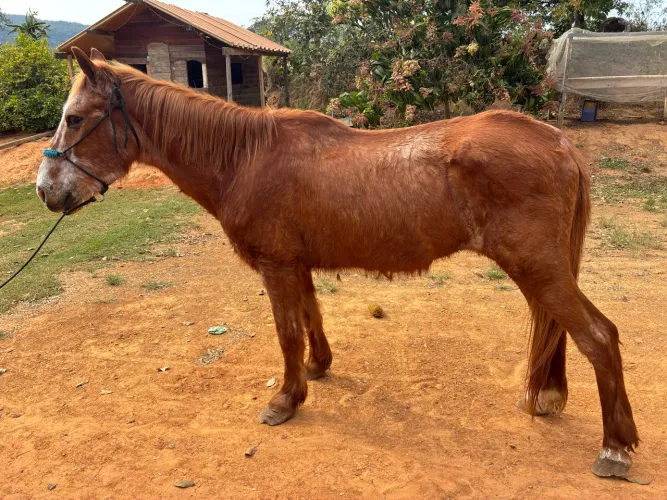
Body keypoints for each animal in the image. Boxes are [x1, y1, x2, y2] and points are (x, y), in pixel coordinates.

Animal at [36, 47, 639, 477]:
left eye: (75, 118)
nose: (45, 190)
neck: (246, 159)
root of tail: (558, 141)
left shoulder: (276, 266)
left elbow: (286, 332)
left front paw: (285, 400)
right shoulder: (295, 264)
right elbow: (310, 318)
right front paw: (316, 369)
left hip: (539, 268)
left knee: (599, 336)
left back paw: (615, 448)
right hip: (540, 270)